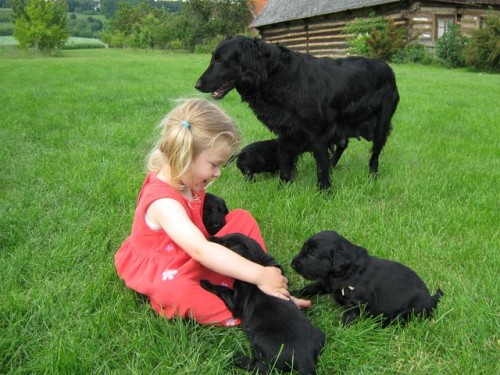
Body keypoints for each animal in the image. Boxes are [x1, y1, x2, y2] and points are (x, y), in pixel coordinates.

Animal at [194, 35, 398, 191]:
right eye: (213, 58)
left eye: (220, 60)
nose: (197, 84)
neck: (278, 76)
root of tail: (388, 68)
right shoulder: (285, 130)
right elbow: (285, 162)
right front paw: (283, 188)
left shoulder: (317, 132)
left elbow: (321, 165)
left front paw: (324, 192)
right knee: (342, 144)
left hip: (381, 125)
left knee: (374, 156)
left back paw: (372, 177)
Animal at [199, 234, 324, 374]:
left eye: (225, 243)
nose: (209, 237)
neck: (257, 262)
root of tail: (306, 359)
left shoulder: (236, 303)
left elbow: (223, 289)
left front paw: (205, 283)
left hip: (261, 340)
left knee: (261, 367)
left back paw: (237, 358)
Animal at [292, 231, 444, 328]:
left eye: (312, 253)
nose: (292, 263)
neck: (346, 272)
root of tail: (432, 299)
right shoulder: (326, 283)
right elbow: (310, 288)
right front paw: (293, 293)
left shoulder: (356, 304)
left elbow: (347, 319)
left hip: (410, 311)